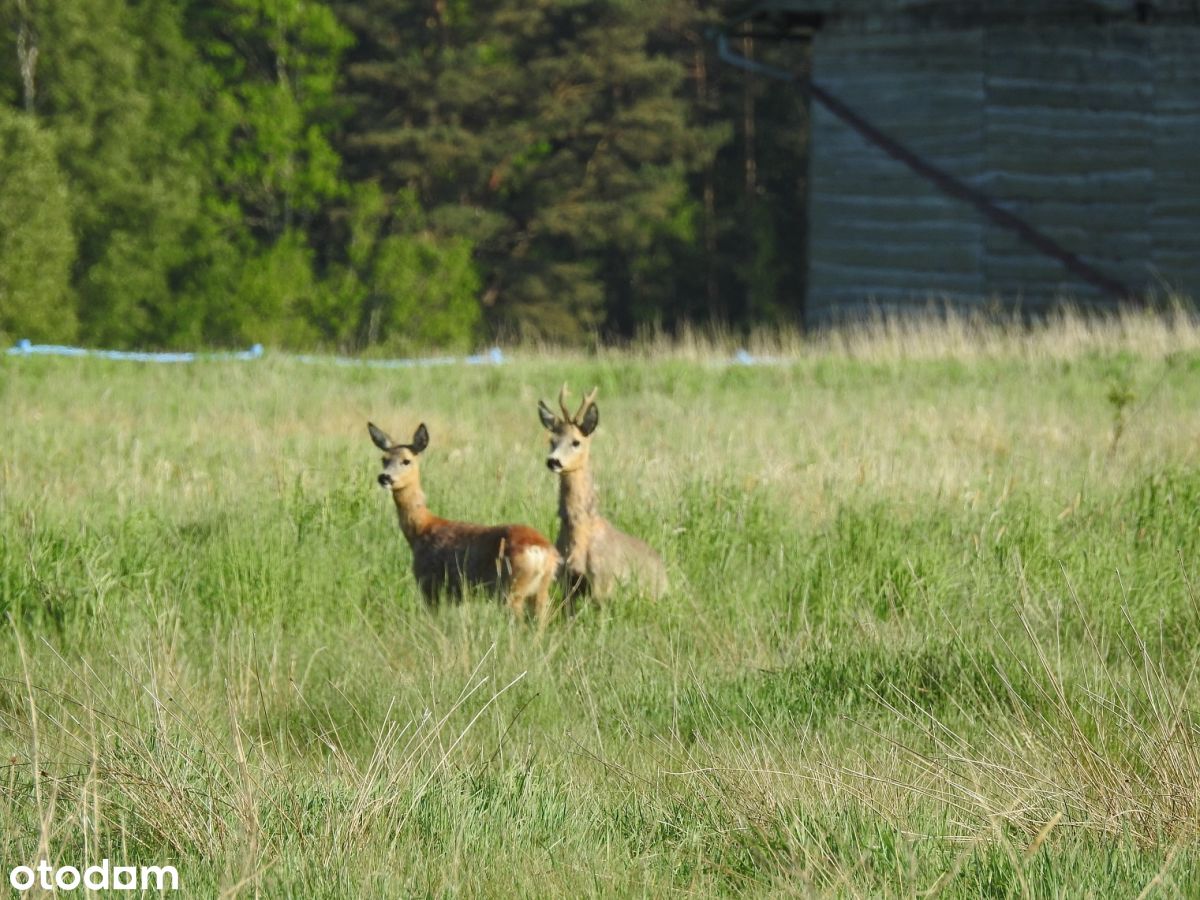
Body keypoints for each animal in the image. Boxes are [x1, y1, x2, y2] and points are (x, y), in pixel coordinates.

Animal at [367, 422, 559, 619]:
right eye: (384, 459)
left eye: (406, 461)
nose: (385, 477)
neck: (421, 529)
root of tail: (541, 551)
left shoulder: (429, 581)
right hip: (541, 591)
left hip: (511, 588)